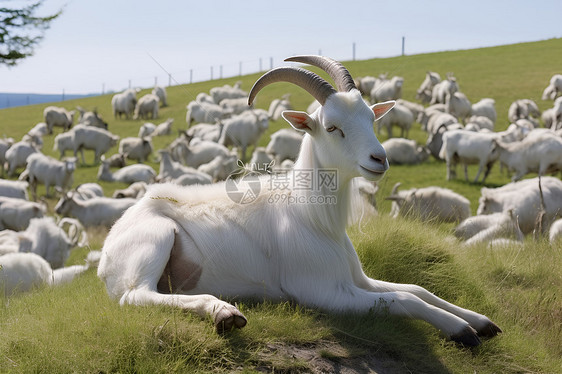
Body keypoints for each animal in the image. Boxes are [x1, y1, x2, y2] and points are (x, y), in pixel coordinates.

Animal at [96, 56, 498, 348]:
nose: (379, 159)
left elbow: (416, 289)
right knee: (135, 296)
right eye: (332, 126)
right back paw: (223, 312)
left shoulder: (356, 278)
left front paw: (480, 320)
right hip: (155, 240)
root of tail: (107, 251)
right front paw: (461, 330)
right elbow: (406, 300)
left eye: (371, 118)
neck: (312, 215)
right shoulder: (323, 292)